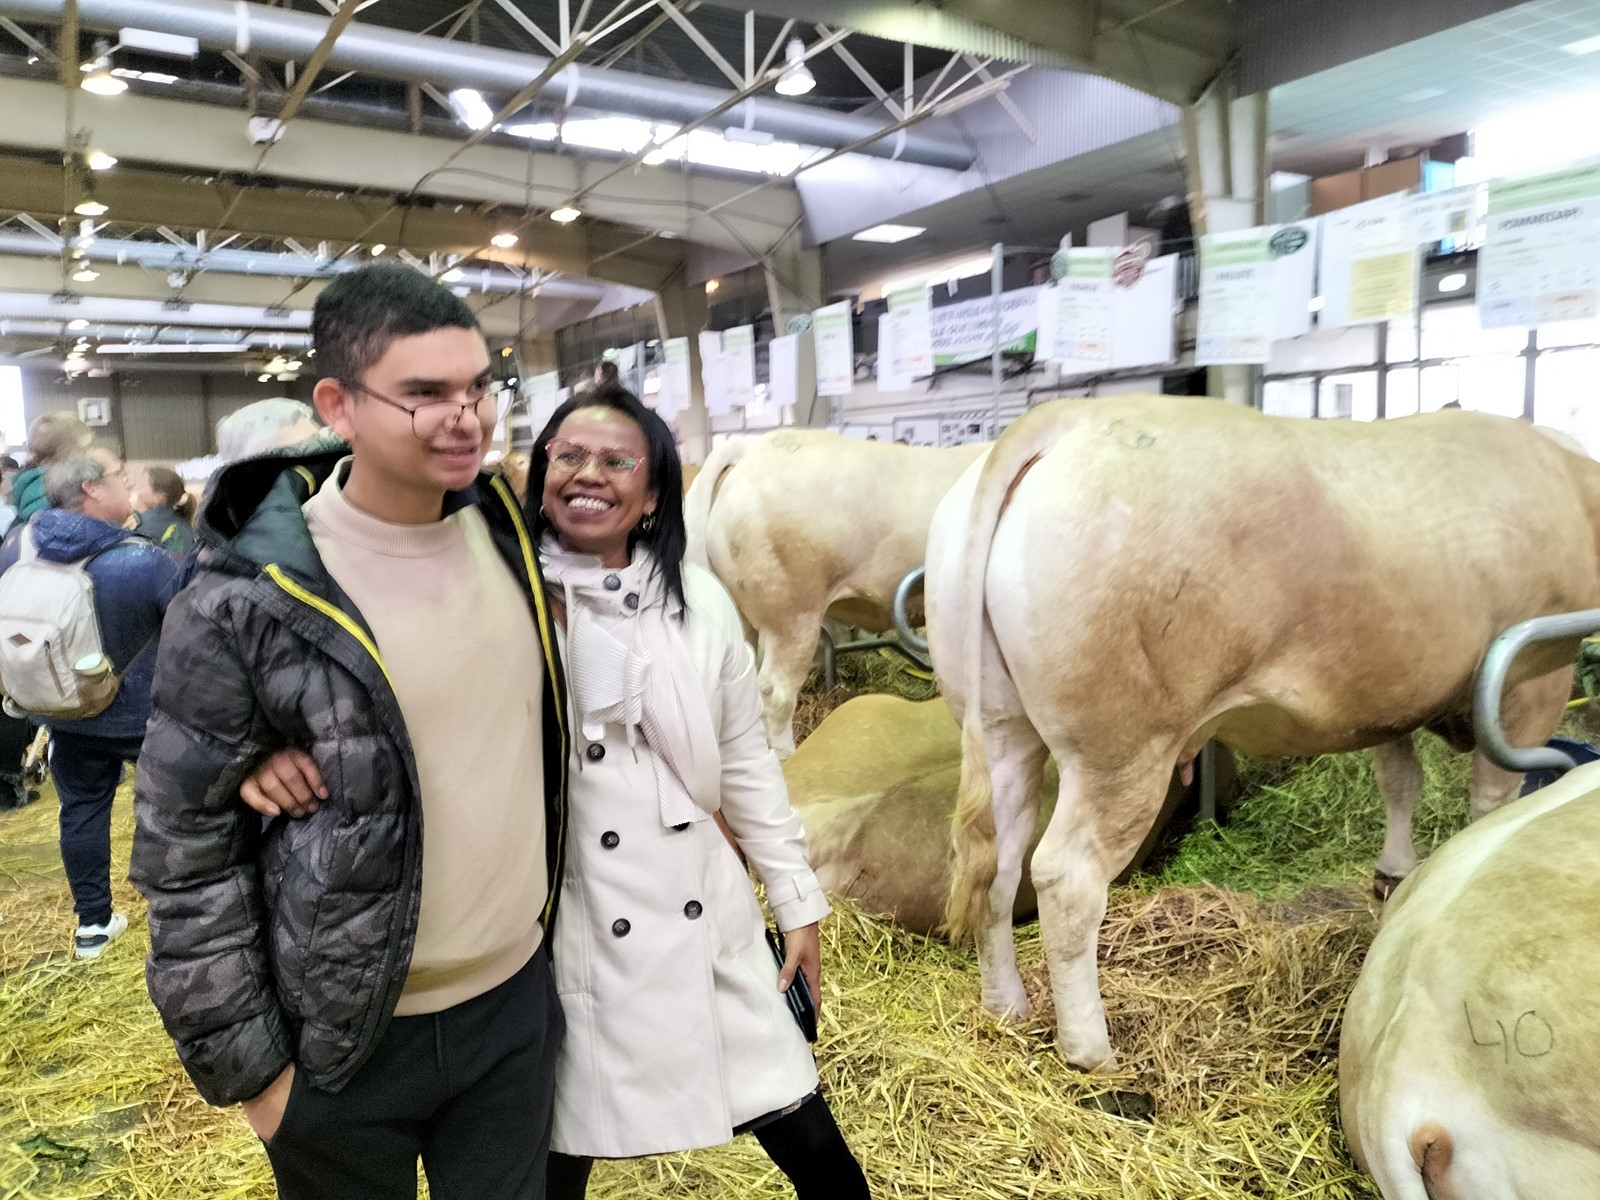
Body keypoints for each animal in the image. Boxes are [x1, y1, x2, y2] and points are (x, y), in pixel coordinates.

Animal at [934, 400, 1593, 1075]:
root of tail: (1063, 419)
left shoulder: (1389, 695)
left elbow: (1399, 780)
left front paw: (1394, 876)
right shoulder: (1530, 676)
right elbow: (1493, 797)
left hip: (999, 725)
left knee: (997, 866)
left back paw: (1006, 1007)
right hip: (1121, 748)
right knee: (1067, 877)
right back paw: (1093, 1052)